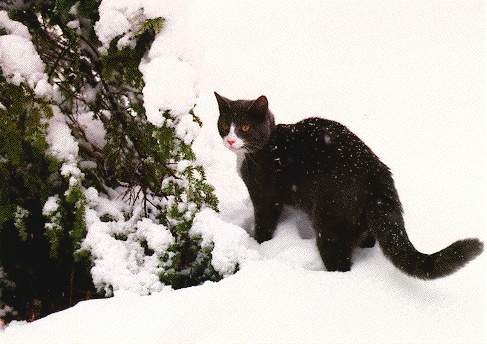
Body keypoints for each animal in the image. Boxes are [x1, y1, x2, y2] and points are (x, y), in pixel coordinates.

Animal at [216, 92, 484, 280]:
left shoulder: (265, 196)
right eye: (225, 125)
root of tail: (379, 177)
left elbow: (265, 223)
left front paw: (258, 243)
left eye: (245, 127)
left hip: (329, 221)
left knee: (340, 263)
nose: (230, 140)